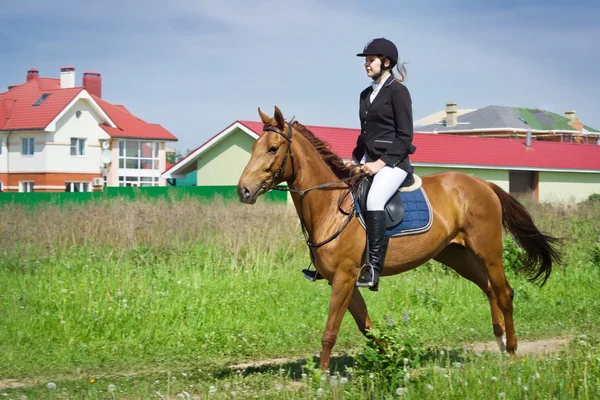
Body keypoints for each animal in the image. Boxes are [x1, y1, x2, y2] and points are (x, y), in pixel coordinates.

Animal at [237, 107, 560, 372]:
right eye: (253, 148)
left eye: (273, 148)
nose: (243, 190)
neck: (330, 206)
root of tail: (484, 184)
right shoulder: (341, 280)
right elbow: (366, 326)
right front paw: (394, 355)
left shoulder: (344, 277)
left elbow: (331, 331)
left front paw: (321, 378)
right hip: (457, 256)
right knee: (490, 289)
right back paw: (500, 340)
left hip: (488, 252)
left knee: (504, 293)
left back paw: (512, 349)